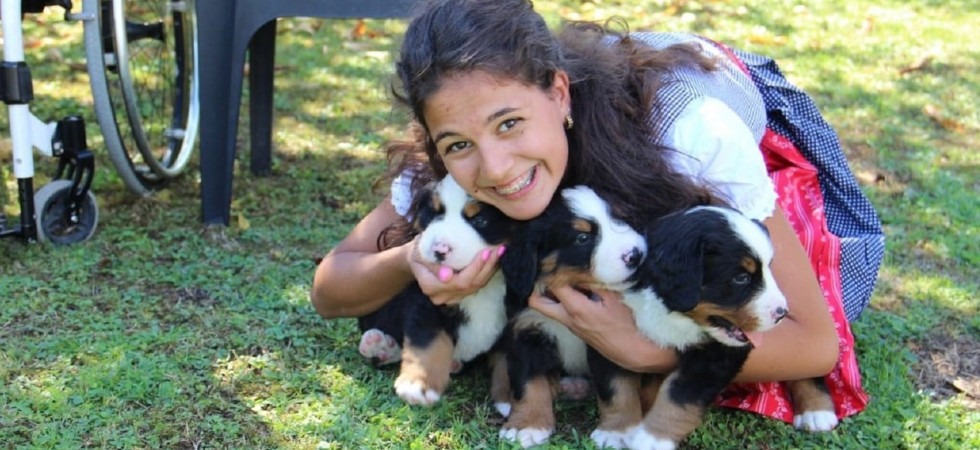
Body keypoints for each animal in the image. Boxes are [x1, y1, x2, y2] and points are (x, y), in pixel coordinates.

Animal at [357, 175, 526, 406]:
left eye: (480, 220)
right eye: (434, 214)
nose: (440, 249)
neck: (484, 288)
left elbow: (509, 359)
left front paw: (511, 399)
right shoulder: (424, 301)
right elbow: (429, 344)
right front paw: (418, 385)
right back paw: (379, 345)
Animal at [489, 185, 648, 448]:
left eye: (620, 219)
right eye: (582, 238)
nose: (635, 255)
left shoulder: (608, 341)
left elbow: (618, 387)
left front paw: (618, 432)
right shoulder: (525, 331)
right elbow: (528, 383)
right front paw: (527, 425)